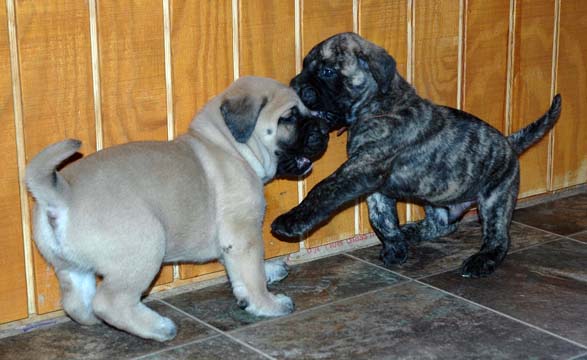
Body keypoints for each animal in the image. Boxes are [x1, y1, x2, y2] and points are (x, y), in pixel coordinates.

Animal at [274, 32, 564, 278]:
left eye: (327, 71)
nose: (294, 86)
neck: (379, 105)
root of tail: (509, 143)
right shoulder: (374, 182)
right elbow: (381, 217)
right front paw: (395, 246)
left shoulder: (362, 168)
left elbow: (323, 190)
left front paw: (291, 220)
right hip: (438, 200)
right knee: (444, 224)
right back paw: (411, 231)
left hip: (495, 198)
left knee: (499, 237)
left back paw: (482, 260)